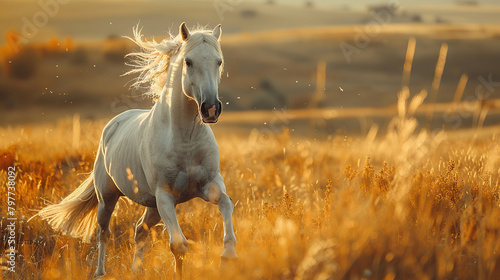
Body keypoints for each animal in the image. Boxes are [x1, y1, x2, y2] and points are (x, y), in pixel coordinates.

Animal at [38, 23, 237, 278]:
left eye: (218, 62)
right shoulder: (165, 197)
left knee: (139, 231)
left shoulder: (209, 185)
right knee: (104, 233)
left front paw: (228, 255)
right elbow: (179, 245)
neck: (185, 140)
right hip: (108, 198)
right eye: (188, 61)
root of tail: (113, 125)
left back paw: (137, 270)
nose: (211, 109)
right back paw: (100, 272)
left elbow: (226, 203)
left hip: (152, 207)